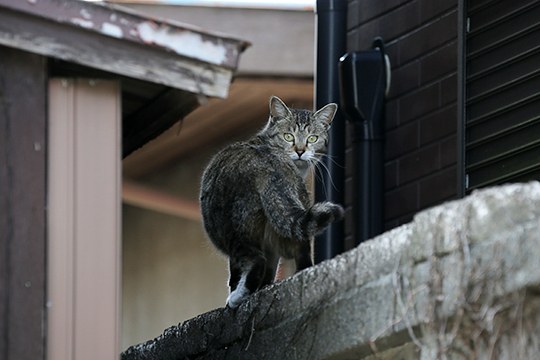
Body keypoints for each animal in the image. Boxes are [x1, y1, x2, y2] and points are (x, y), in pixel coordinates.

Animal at [200, 96, 344, 310]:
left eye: (312, 138)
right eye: (288, 136)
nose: (300, 150)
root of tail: (268, 166)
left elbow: (236, 273)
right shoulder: (273, 242)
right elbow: (270, 269)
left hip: (236, 228)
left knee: (254, 260)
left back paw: (237, 297)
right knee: (301, 257)